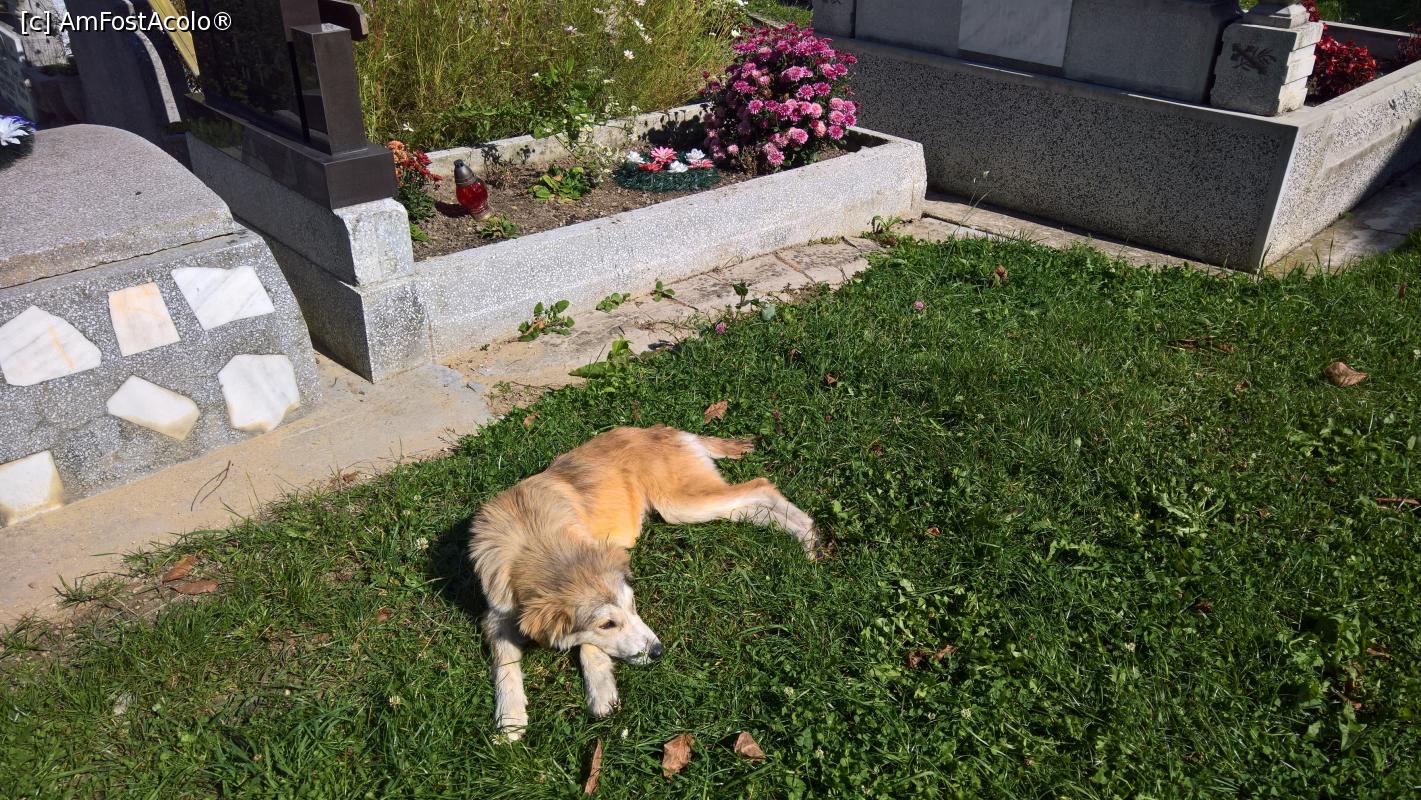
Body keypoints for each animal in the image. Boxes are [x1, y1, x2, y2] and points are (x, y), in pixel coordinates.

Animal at [467, 424, 817, 740]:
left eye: (634, 605)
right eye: (607, 624)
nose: (659, 652)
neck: (534, 539)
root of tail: (664, 429)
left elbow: (586, 646)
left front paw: (600, 690)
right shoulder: (496, 615)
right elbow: (504, 664)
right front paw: (510, 718)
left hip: (681, 504)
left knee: (762, 485)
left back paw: (808, 535)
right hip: (696, 510)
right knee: (754, 506)